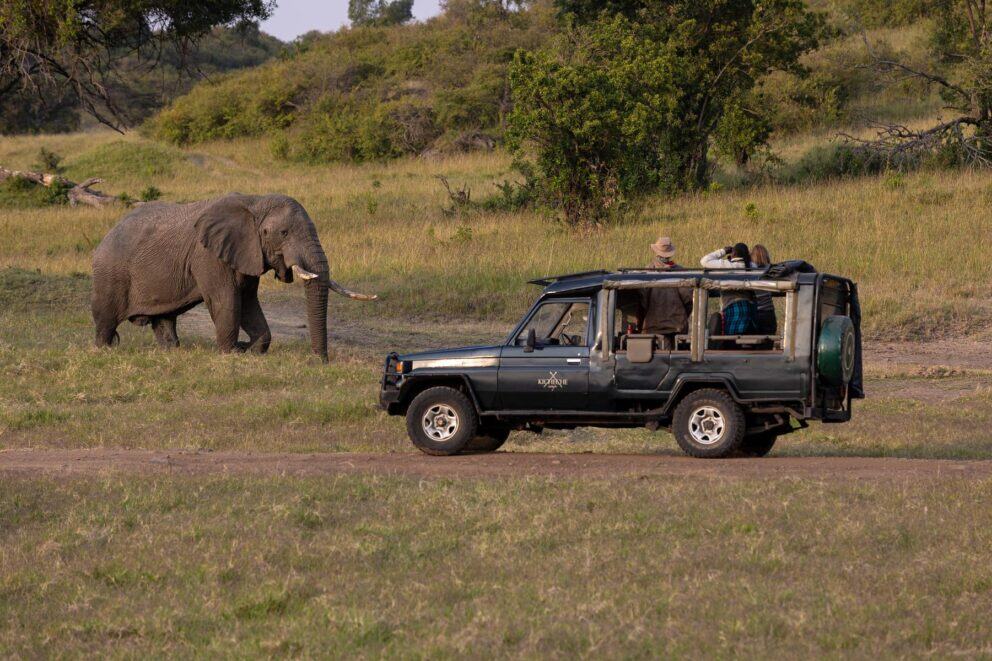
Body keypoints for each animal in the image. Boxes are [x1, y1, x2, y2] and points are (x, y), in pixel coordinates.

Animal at [91, 193, 376, 361]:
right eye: (283, 233)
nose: (319, 361)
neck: (254, 203)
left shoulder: (248, 253)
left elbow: (248, 302)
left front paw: (250, 350)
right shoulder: (208, 255)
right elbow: (226, 300)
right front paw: (230, 354)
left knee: (164, 321)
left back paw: (171, 351)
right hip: (109, 275)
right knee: (105, 323)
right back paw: (103, 352)